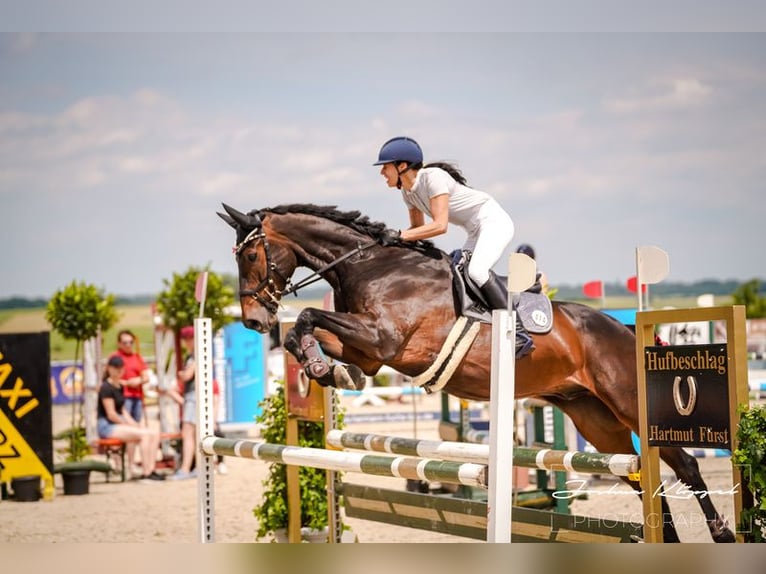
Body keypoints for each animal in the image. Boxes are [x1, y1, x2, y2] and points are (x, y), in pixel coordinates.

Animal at [218, 202, 735, 543]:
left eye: (250, 256)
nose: (253, 321)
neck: (369, 266)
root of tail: (625, 327)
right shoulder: (371, 352)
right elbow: (305, 332)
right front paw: (327, 370)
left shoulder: (384, 341)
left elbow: (307, 315)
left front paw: (325, 367)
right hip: (595, 419)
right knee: (640, 474)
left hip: (628, 402)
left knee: (683, 464)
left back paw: (722, 534)